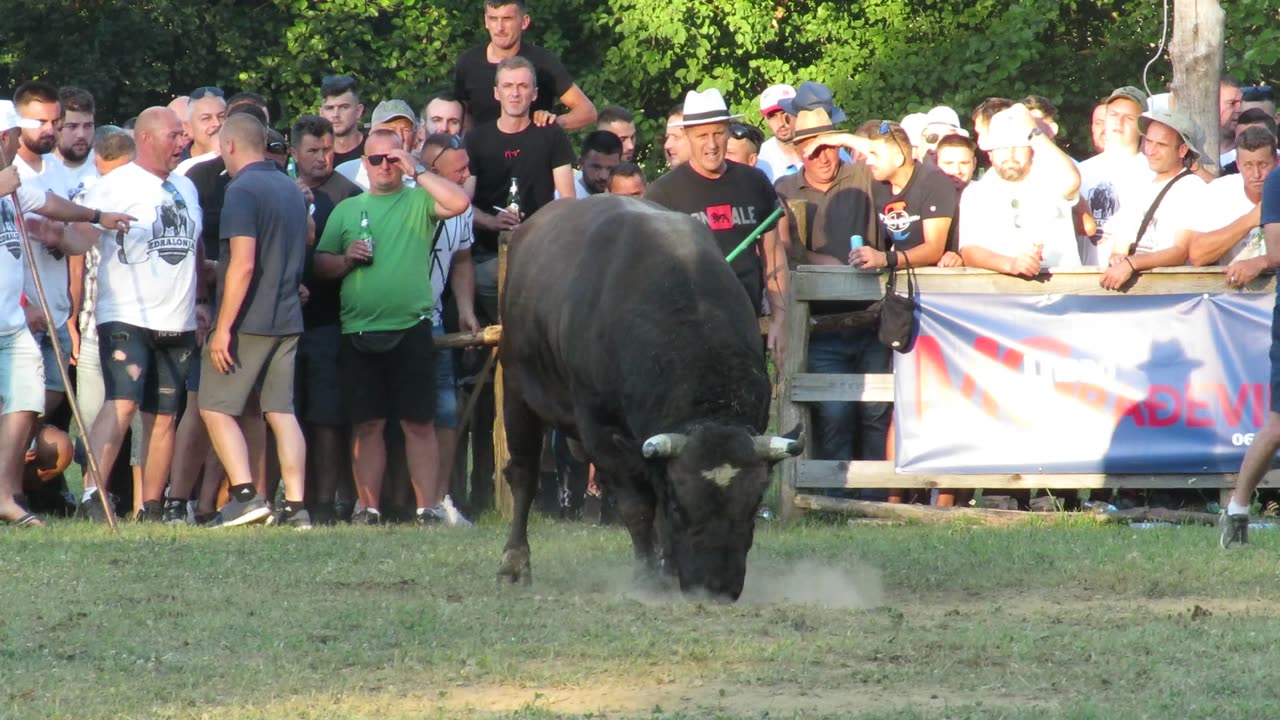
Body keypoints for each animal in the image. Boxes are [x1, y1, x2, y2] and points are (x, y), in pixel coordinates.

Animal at [494, 192, 793, 599]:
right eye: (682, 507)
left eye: (753, 506)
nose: (715, 587)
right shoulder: (602, 433)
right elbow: (637, 507)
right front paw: (648, 578)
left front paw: (667, 570)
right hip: (517, 389)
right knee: (523, 475)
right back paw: (514, 563)